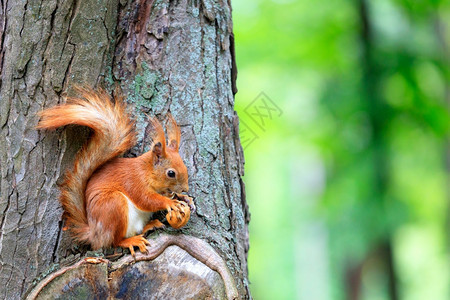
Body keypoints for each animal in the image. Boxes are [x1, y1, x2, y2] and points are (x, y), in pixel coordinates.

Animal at [36, 88, 194, 255]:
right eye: (171, 173)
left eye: (184, 166)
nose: (185, 188)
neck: (146, 171)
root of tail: (94, 234)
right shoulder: (134, 181)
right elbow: (146, 200)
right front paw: (170, 202)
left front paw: (185, 198)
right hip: (113, 206)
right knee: (115, 241)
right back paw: (131, 241)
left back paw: (150, 225)